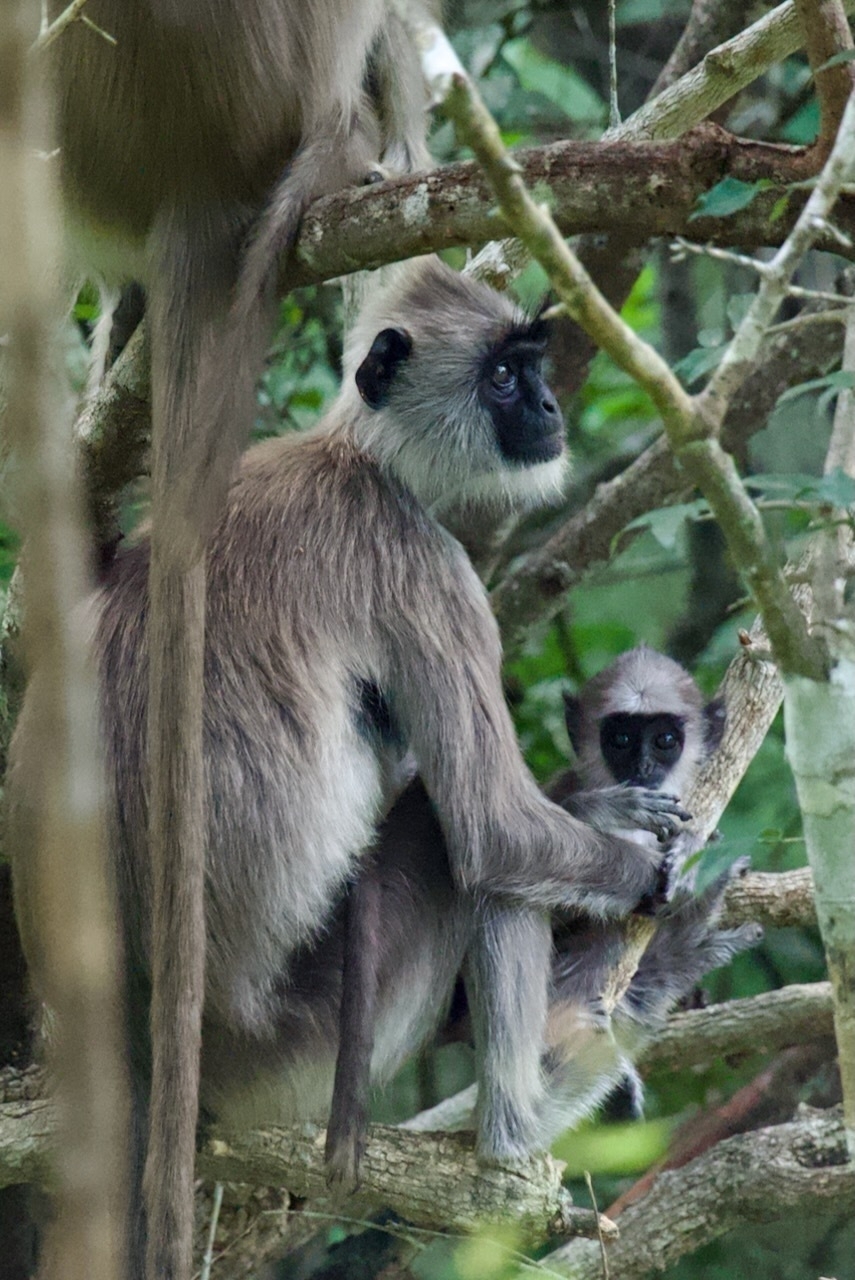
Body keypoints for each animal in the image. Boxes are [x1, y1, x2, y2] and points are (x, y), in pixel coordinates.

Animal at [8, 254, 680, 1274]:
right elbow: (489, 827)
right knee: (459, 848)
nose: (547, 409)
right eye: (501, 378)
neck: (353, 457)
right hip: (303, 1047)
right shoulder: (421, 560)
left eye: (530, 366)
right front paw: (632, 849)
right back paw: (512, 1141)